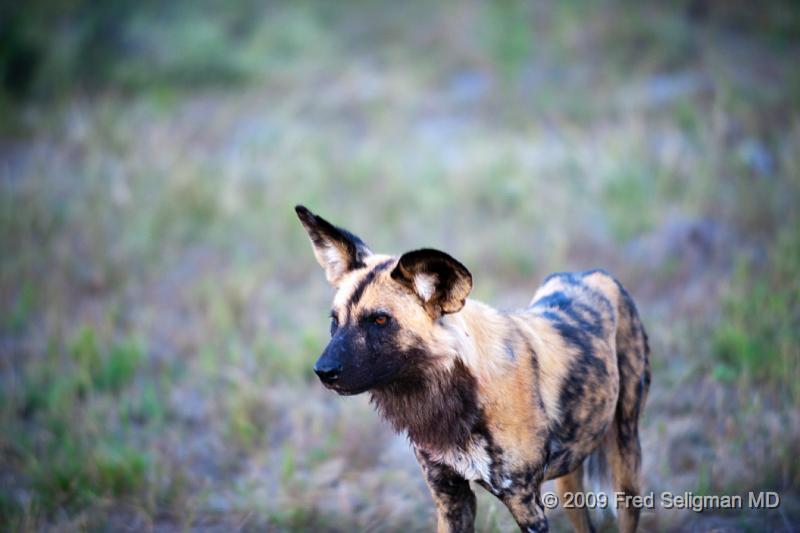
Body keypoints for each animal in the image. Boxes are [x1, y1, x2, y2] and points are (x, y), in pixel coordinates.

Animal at [294, 205, 648, 532]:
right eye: (335, 321)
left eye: (380, 320)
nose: (322, 371)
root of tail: (590, 272)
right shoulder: (450, 497)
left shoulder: (526, 506)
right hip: (570, 478)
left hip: (626, 466)